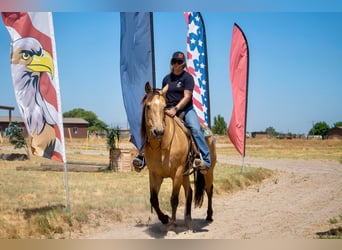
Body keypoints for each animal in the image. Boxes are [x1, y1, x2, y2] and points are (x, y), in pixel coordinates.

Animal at [140, 82, 216, 229]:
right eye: (148, 106)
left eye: (164, 107)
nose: (158, 131)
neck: (161, 146)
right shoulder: (154, 174)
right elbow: (153, 199)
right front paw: (165, 218)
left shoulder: (178, 172)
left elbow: (174, 199)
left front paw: (172, 224)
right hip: (185, 174)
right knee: (190, 192)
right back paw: (188, 219)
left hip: (208, 170)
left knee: (209, 189)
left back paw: (209, 216)